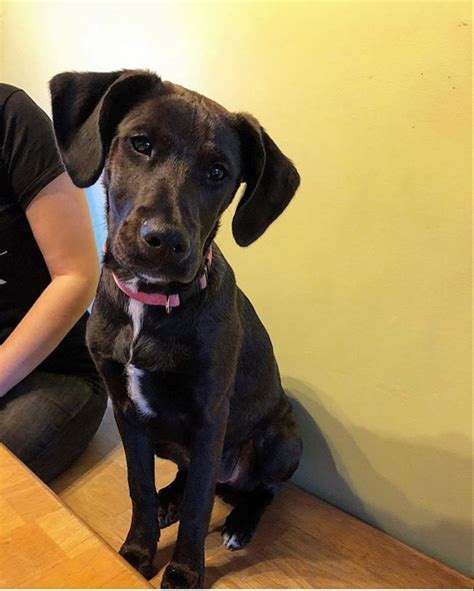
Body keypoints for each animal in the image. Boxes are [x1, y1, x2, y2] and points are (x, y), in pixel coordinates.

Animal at [50, 70, 302, 589]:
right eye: (140, 144)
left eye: (218, 172)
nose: (165, 241)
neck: (149, 305)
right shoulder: (126, 410)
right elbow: (138, 486)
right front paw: (137, 551)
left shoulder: (210, 415)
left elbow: (201, 507)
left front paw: (185, 571)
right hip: (170, 438)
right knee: (190, 473)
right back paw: (172, 498)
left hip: (283, 439)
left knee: (260, 488)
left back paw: (241, 521)